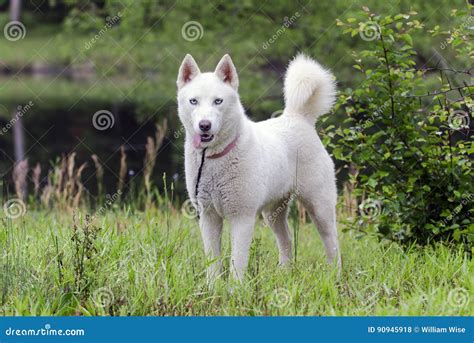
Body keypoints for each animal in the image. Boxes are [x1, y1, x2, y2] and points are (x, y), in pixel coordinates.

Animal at [176, 52, 338, 280]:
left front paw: (234, 288)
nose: (204, 125)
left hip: (319, 208)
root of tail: (299, 118)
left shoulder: (242, 219)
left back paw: (335, 277)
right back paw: (284, 275)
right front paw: (212, 287)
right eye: (193, 101)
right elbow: (213, 262)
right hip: (272, 213)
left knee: (333, 244)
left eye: (218, 101)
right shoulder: (208, 217)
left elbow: (237, 263)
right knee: (287, 240)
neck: (215, 157)